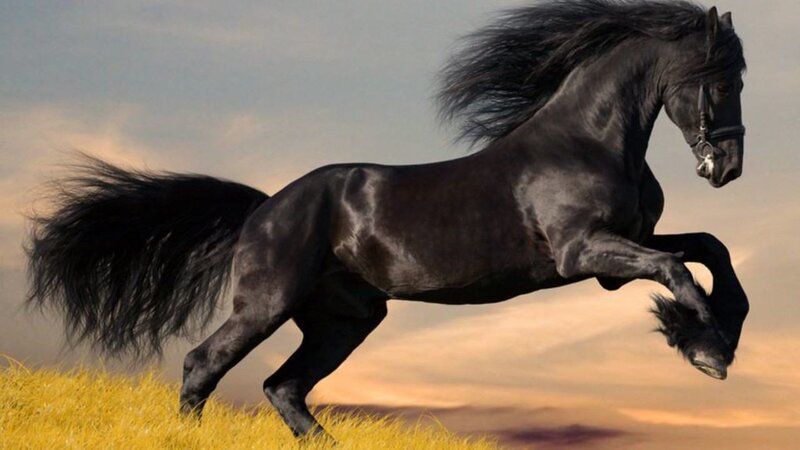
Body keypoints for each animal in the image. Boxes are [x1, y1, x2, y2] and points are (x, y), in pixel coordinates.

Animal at [27, 0, 749, 440]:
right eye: (721, 79)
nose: (729, 168)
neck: (587, 141)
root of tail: (263, 207)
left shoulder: (621, 250)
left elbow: (709, 249)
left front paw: (717, 334)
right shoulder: (584, 253)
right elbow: (677, 268)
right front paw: (706, 349)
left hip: (345, 319)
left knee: (283, 386)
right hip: (267, 303)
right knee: (204, 364)